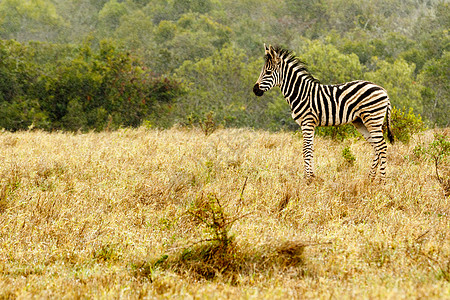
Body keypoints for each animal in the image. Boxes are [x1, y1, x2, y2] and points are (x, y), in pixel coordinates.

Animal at [253, 43, 394, 182]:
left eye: (268, 72)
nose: (255, 90)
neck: (300, 93)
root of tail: (384, 91)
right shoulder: (309, 124)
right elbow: (310, 149)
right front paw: (311, 176)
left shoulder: (307, 122)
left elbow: (306, 149)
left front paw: (307, 179)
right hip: (360, 121)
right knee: (376, 146)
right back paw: (370, 178)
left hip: (372, 118)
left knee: (382, 146)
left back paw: (382, 180)